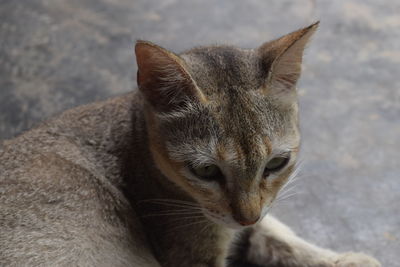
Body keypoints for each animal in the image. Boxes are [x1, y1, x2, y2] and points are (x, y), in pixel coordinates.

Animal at [0, 22, 382, 266]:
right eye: (206, 170)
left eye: (276, 163)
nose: (245, 216)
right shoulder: (194, 252)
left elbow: (276, 232)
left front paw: (342, 259)